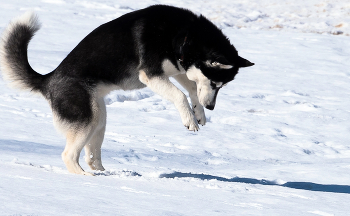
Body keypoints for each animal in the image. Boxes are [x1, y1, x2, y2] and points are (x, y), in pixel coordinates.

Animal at [0, 5, 252, 176]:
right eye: (216, 84)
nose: (212, 106)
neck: (182, 36)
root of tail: (49, 79)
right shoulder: (151, 74)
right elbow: (180, 94)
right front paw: (190, 119)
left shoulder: (176, 70)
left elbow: (191, 87)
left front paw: (199, 112)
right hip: (86, 119)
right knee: (68, 155)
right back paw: (84, 177)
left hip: (98, 118)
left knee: (92, 155)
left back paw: (105, 173)